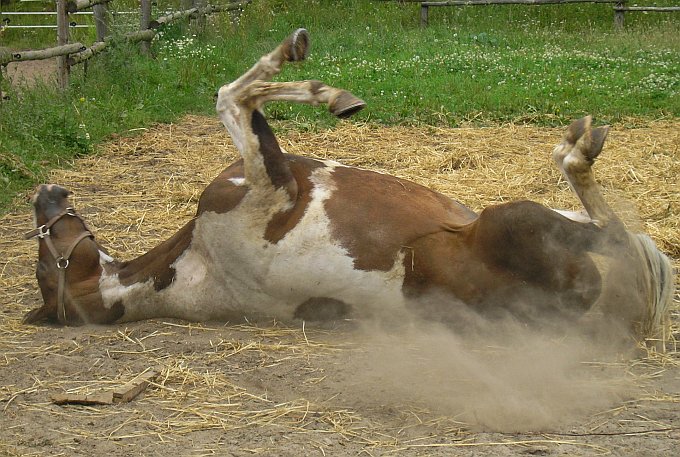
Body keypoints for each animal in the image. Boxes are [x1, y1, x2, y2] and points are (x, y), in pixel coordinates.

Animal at [23, 30, 672, 340]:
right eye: (46, 260)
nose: (46, 195)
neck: (193, 265)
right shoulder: (274, 189)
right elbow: (232, 97)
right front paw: (323, 84)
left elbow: (241, 98)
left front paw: (324, 90)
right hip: (515, 219)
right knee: (613, 234)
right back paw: (578, 151)